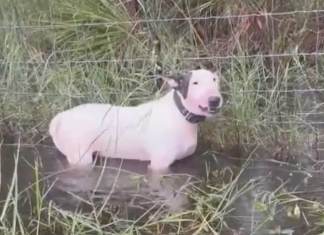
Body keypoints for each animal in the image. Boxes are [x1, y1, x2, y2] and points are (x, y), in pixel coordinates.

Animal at [48, 68, 223, 173]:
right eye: (195, 83)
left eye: (215, 80)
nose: (215, 100)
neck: (180, 114)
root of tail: (60, 117)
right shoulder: (159, 165)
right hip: (80, 157)